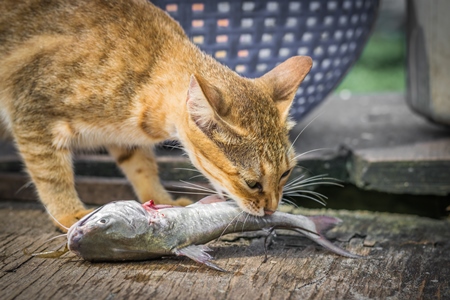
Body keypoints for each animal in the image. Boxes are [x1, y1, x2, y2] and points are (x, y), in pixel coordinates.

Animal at [0, 0, 312, 230]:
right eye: (252, 183)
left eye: (286, 173)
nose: (272, 210)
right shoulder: (31, 113)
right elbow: (51, 175)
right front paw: (70, 214)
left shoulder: (125, 138)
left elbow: (143, 168)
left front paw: (162, 200)